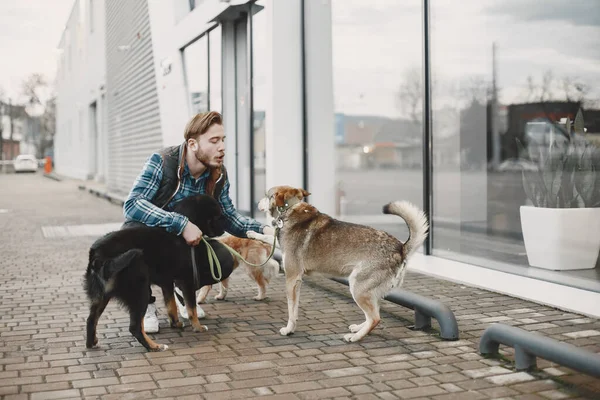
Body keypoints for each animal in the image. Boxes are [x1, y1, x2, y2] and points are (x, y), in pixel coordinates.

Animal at [84, 195, 234, 352]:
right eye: (218, 216)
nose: (224, 228)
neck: (179, 236)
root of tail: (97, 255)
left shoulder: (167, 282)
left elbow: (171, 305)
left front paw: (176, 324)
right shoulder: (186, 281)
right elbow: (191, 308)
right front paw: (197, 327)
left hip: (101, 296)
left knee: (91, 320)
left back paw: (91, 343)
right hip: (140, 291)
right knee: (134, 327)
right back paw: (154, 346)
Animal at [251, 186, 428, 342]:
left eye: (266, 195)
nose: (256, 203)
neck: (291, 208)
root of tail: (401, 247)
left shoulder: (291, 278)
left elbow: (291, 311)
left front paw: (289, 329)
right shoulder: (295, 279)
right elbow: (268, 235)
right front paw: (252, 233)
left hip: (357, 287)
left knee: (375, 318)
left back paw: (354, 338)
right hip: (368, 291)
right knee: (374, 314)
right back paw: (358, 329)